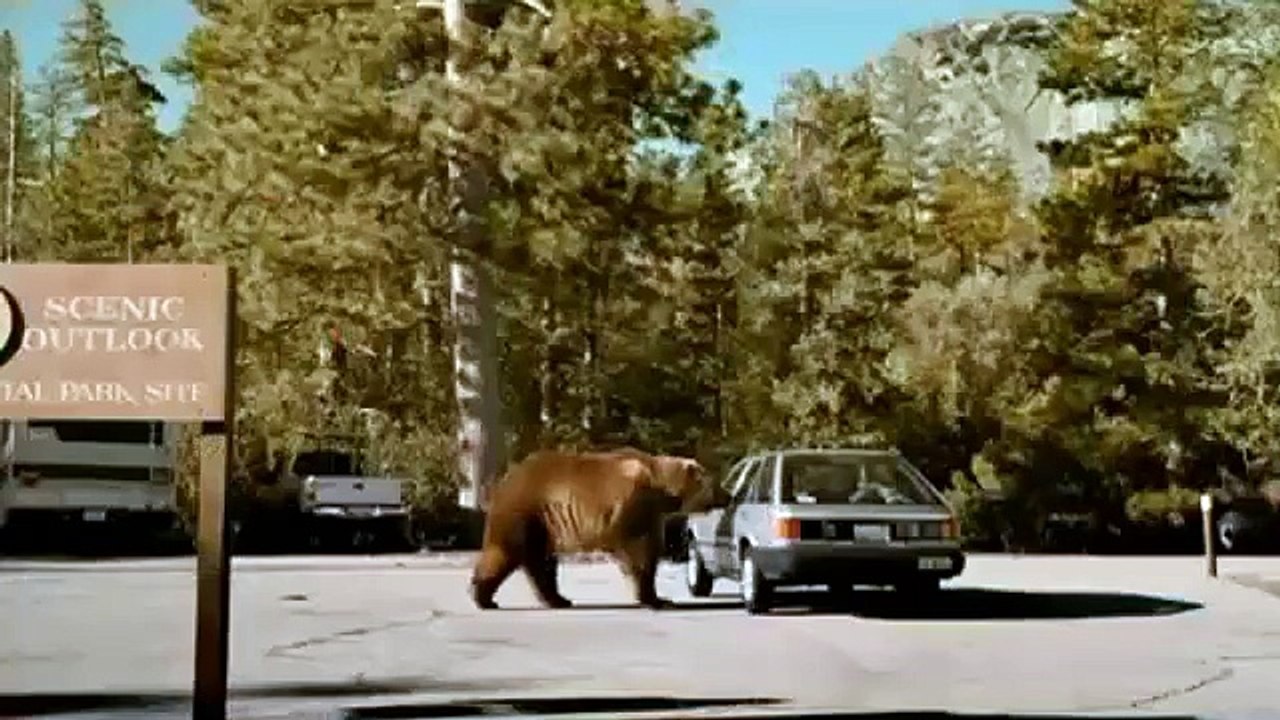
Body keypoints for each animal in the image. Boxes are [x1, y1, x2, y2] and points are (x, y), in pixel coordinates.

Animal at [469, 447, 722, 610]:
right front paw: (656, 599)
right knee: (507, 554)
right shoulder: (632, 503)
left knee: (542, 563)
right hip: (527, 513)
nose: (727, 496)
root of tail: (506, 479)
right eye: (715, 484)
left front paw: (657, 597)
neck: (661, 491)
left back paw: (558, 599)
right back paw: (483, 597)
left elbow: (649, 548)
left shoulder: (652, 515)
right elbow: (639, 551)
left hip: (544, 526)